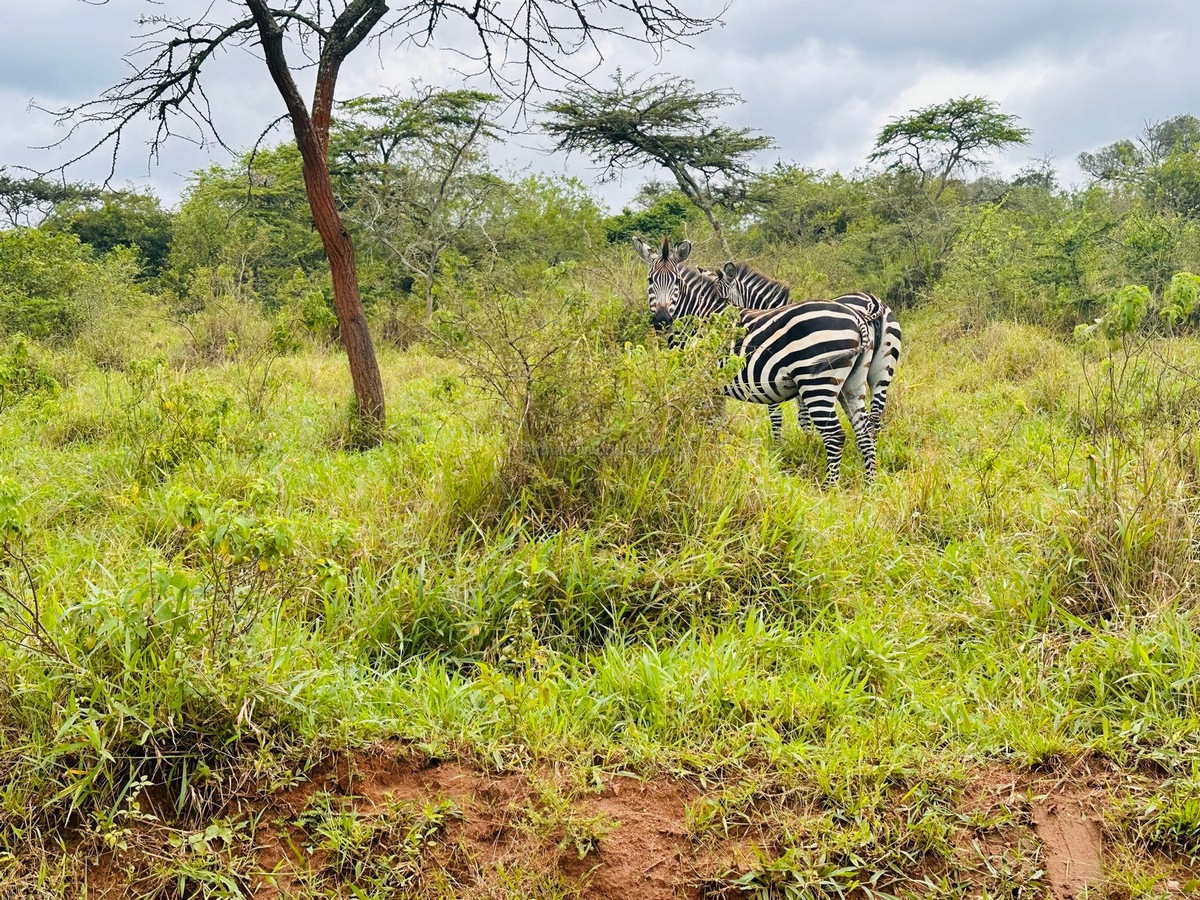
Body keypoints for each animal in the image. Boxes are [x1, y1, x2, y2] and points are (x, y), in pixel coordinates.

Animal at [633, 234, 878, 487]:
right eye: (650, 281)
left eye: (676, 283)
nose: (662, 320)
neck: (699, 318)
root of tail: (857, 317)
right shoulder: (716, 386)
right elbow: (717, 423)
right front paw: (717, 458)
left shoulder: (704, 381)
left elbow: (706, 423)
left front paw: (704, 458)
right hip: (852, 384)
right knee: (865, 430)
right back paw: (869, 485)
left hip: (817, 383)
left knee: (835, 435)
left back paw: (829, 488)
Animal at [710, 260, 902, 441]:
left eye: (723, 302)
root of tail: (873, 301)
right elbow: (804, 417)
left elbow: (783, 416)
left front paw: (783, 446)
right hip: (882, 371)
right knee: (874, 417)